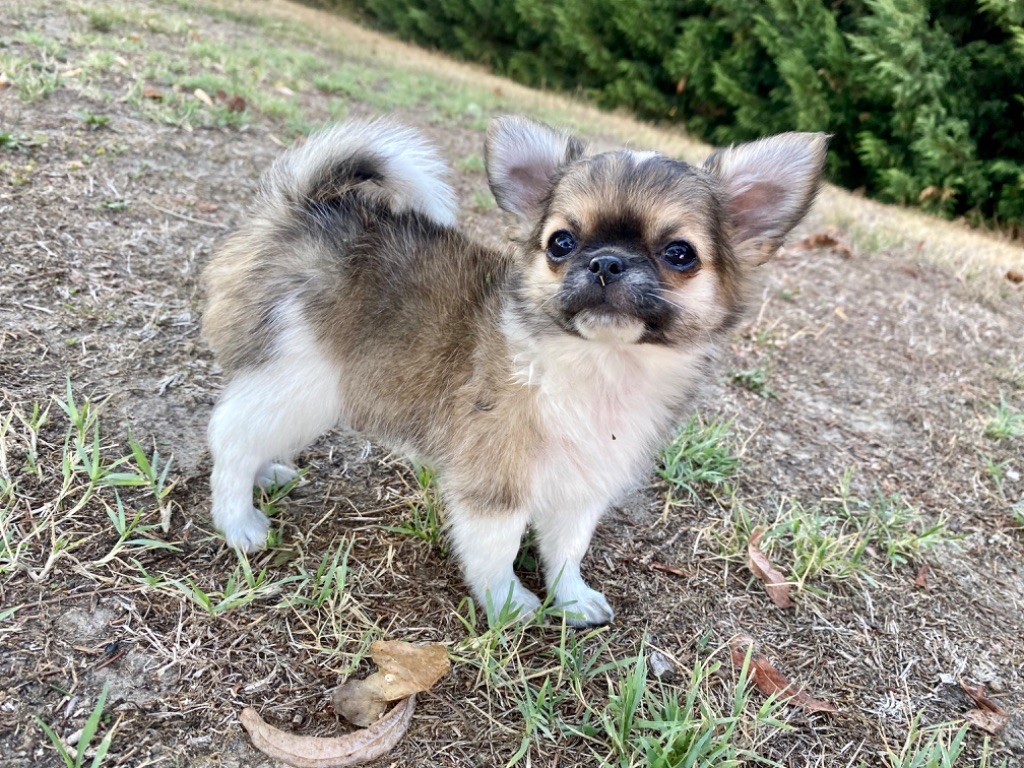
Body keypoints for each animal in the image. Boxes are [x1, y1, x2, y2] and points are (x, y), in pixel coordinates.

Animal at [201, 115, 826, 626]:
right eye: (561, 242)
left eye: (680, 253)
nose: (605, 262)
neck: (599, 364)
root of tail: (308, 205)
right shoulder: (495, 482)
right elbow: (496, 551)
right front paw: (508, 604)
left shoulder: (581, 488)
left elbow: (567, 550)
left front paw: (571, 599)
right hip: (300, 381)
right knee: (230, 436)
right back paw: (238, 520)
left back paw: (266, 474)